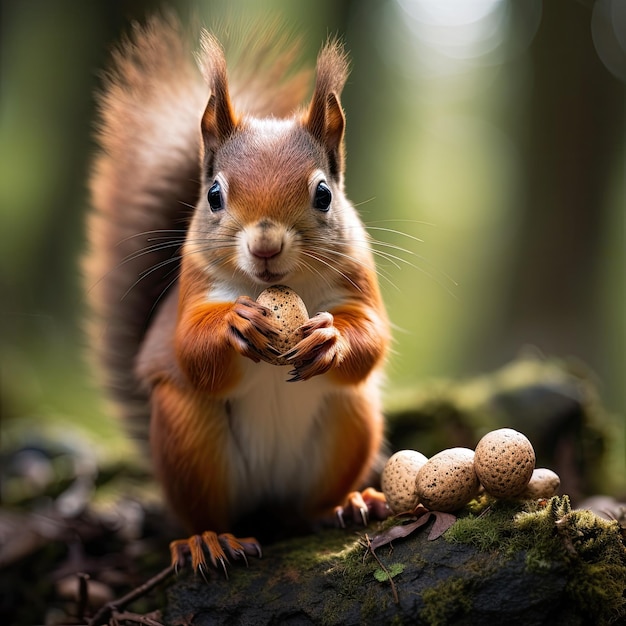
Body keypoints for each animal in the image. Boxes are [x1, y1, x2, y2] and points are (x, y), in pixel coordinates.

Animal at [84, 14, 390, 572]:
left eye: (323, 193)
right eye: (213, 195)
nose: (265, 245)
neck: (275, 286)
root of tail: (268, 511)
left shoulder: (358, 277)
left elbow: (371, 336)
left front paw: (330, 339)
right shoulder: (193, 284)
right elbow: (190, 349)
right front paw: (237, 324)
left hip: (351, 415)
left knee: (310, 502)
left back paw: (346, 503)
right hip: (187, 435)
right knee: (207, 511)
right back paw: (208, 541)